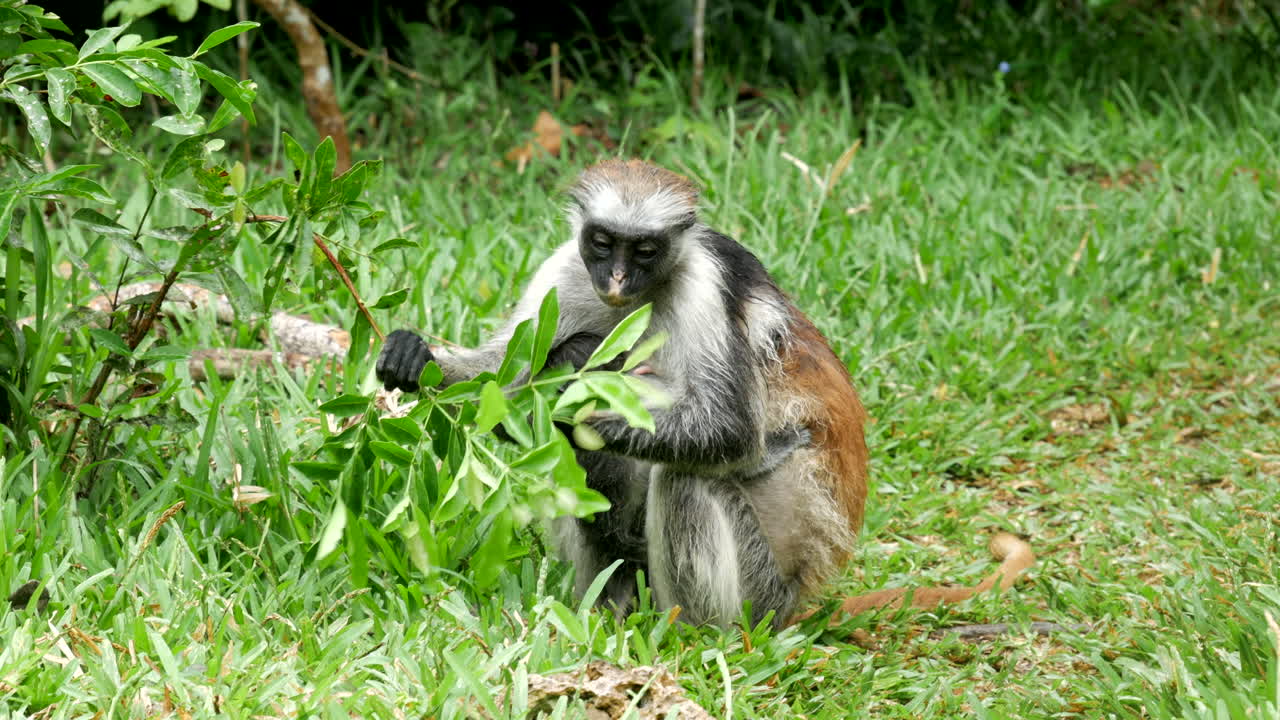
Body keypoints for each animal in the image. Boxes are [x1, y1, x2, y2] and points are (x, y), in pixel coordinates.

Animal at [377, 158, 1033, 630]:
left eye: (644, 250)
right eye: (603, 242)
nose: (617, 278)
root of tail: (800, 599)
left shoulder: (702, 283)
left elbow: (732, 433)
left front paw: (583, 407)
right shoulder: (567, 267)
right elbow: (507, 373)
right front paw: (419, 360)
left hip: (762, 592)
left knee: (685, 478)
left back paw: (687, 636)